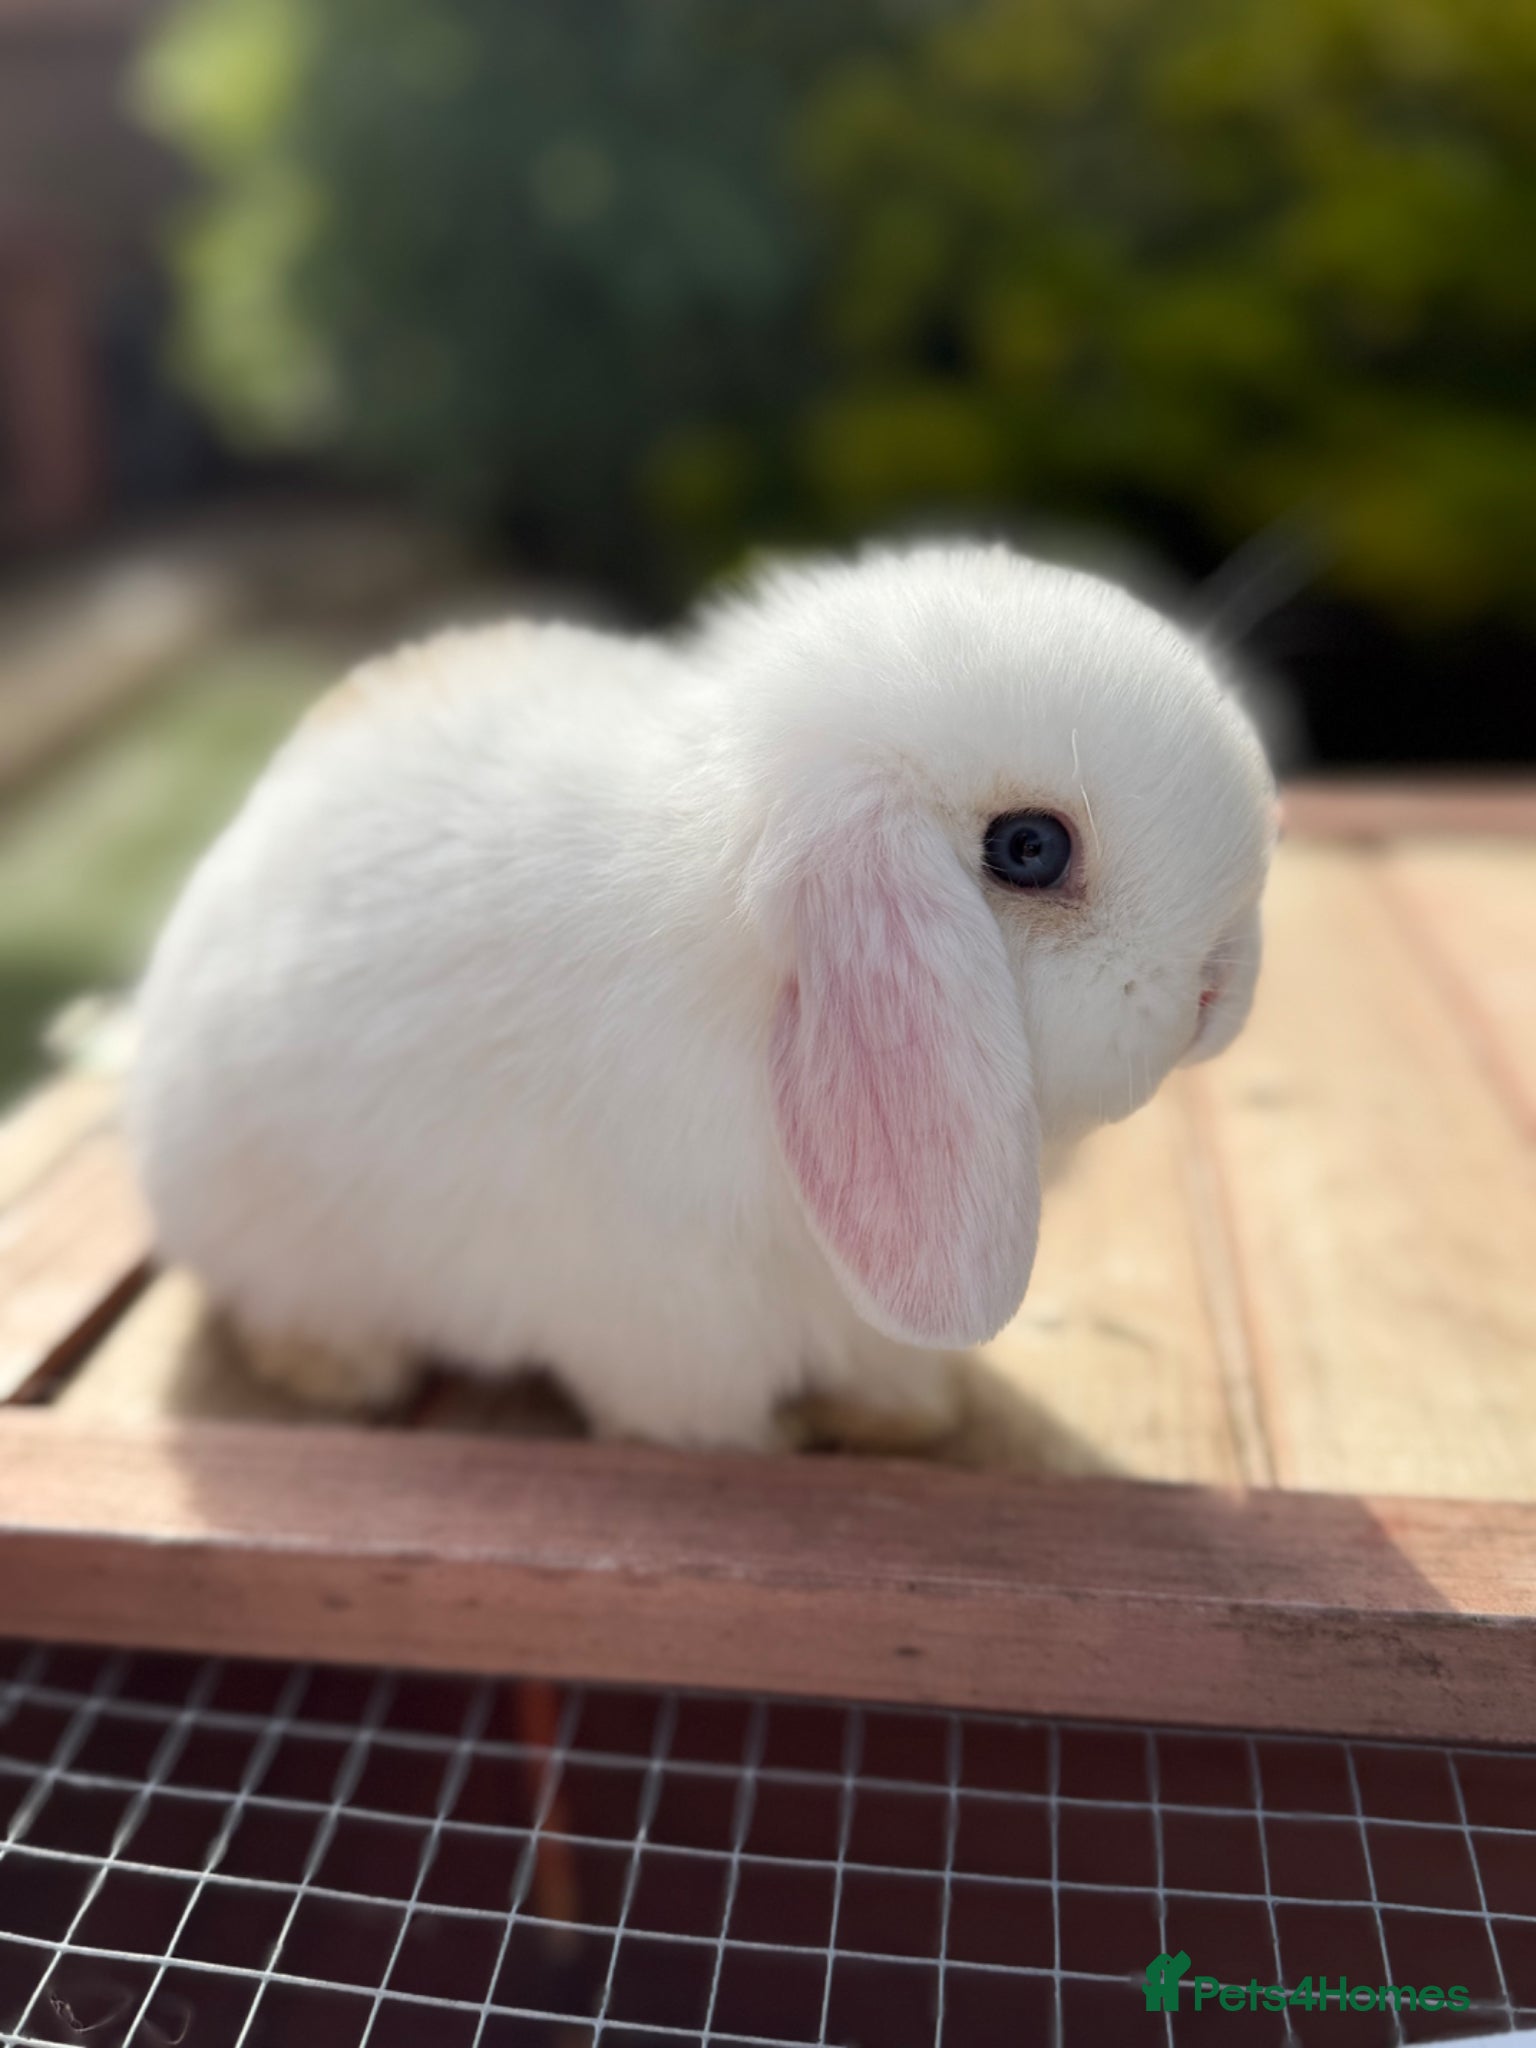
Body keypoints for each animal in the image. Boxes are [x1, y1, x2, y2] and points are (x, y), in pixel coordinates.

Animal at [127, 541, 1277, 1450]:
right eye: (1029, 848)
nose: (1219, 986)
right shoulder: (668, 1325)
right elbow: (698, 1424)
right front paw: (777, 1447)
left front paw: (907, 1419)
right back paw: (345, 1372)